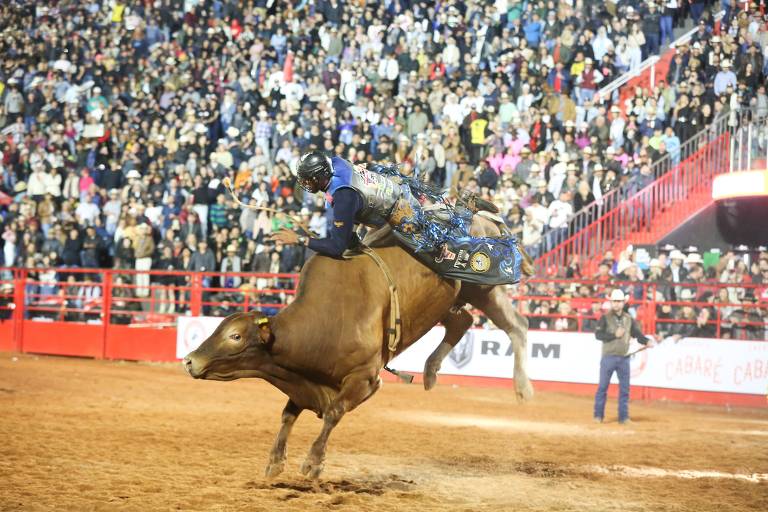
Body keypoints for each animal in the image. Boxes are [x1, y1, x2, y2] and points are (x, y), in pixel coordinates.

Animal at [184, 214, 536, 478]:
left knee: (517, 326)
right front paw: (274, 462)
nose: (189, 360)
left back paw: (522, 387)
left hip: (484, 289)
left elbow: (333, 413)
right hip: (452, 298)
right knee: (462, 322)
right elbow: (288, 414)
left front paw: (312, 463)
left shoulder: (365, 379)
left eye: (235, 336)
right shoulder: (305, 381)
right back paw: (431, 371)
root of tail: (486, 219)